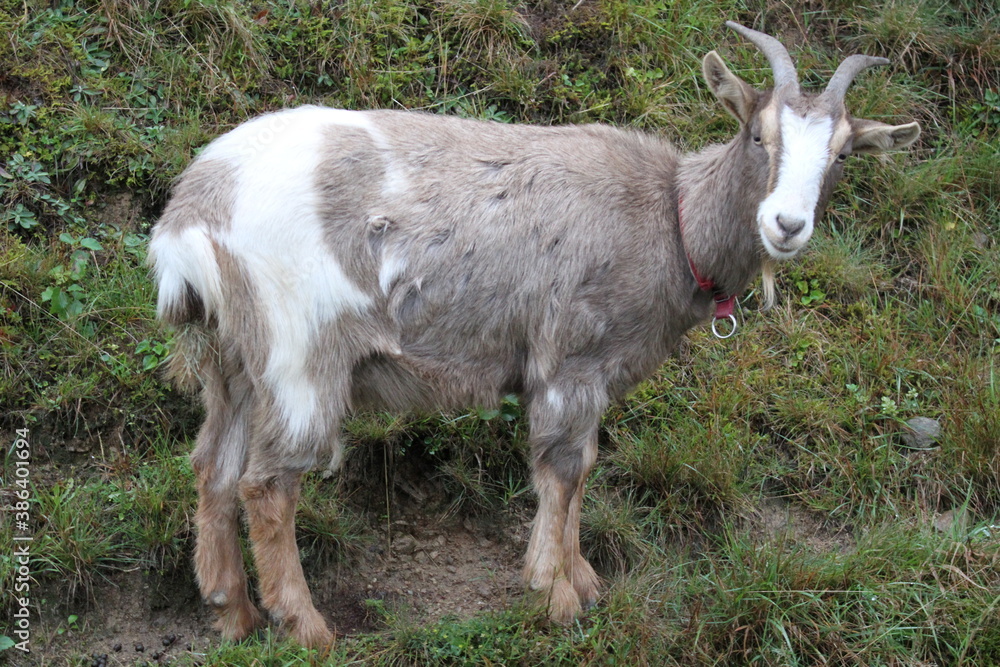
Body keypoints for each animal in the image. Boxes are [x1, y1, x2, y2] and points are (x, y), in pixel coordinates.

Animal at [148, 21, 920, 646]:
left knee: (213, 464)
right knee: (268, 484)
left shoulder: (595, 374)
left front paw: (583, 577)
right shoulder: (571, 360)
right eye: (758, 135)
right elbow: (565, 468)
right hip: (299, 352)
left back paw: (230, 609)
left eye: (842, 156)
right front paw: (557, 592)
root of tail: (192, 210)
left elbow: (585, 466)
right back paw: (306, 626)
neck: (670, 220)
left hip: (235, 359)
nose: (787, 225)